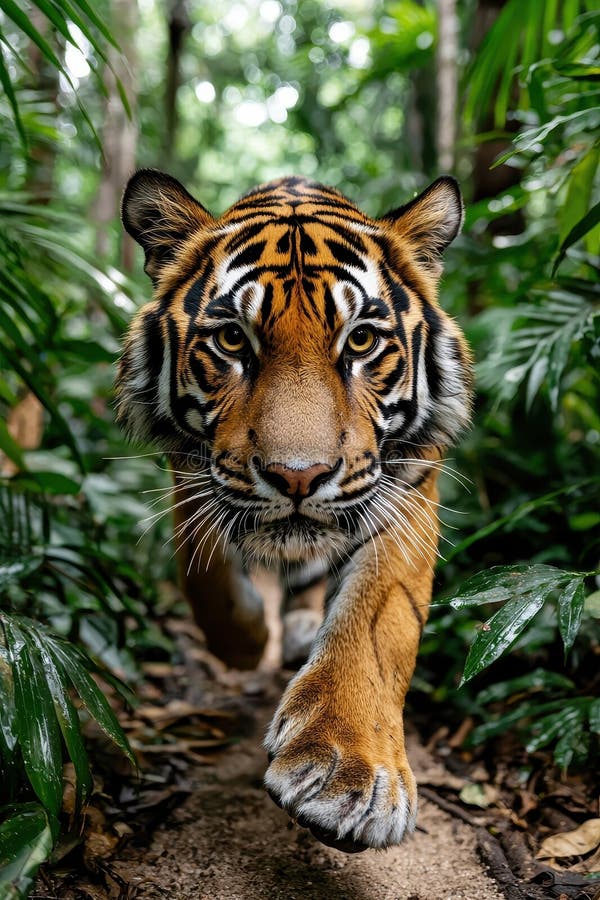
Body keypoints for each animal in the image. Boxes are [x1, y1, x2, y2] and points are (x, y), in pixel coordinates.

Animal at [116, 170, 473, 853]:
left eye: (361, 339)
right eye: (232, 339)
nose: (298, 476)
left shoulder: (410, 488)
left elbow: (379, 623)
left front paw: (350, 774)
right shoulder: (190, 474)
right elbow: (209, 580)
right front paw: (248, 641)